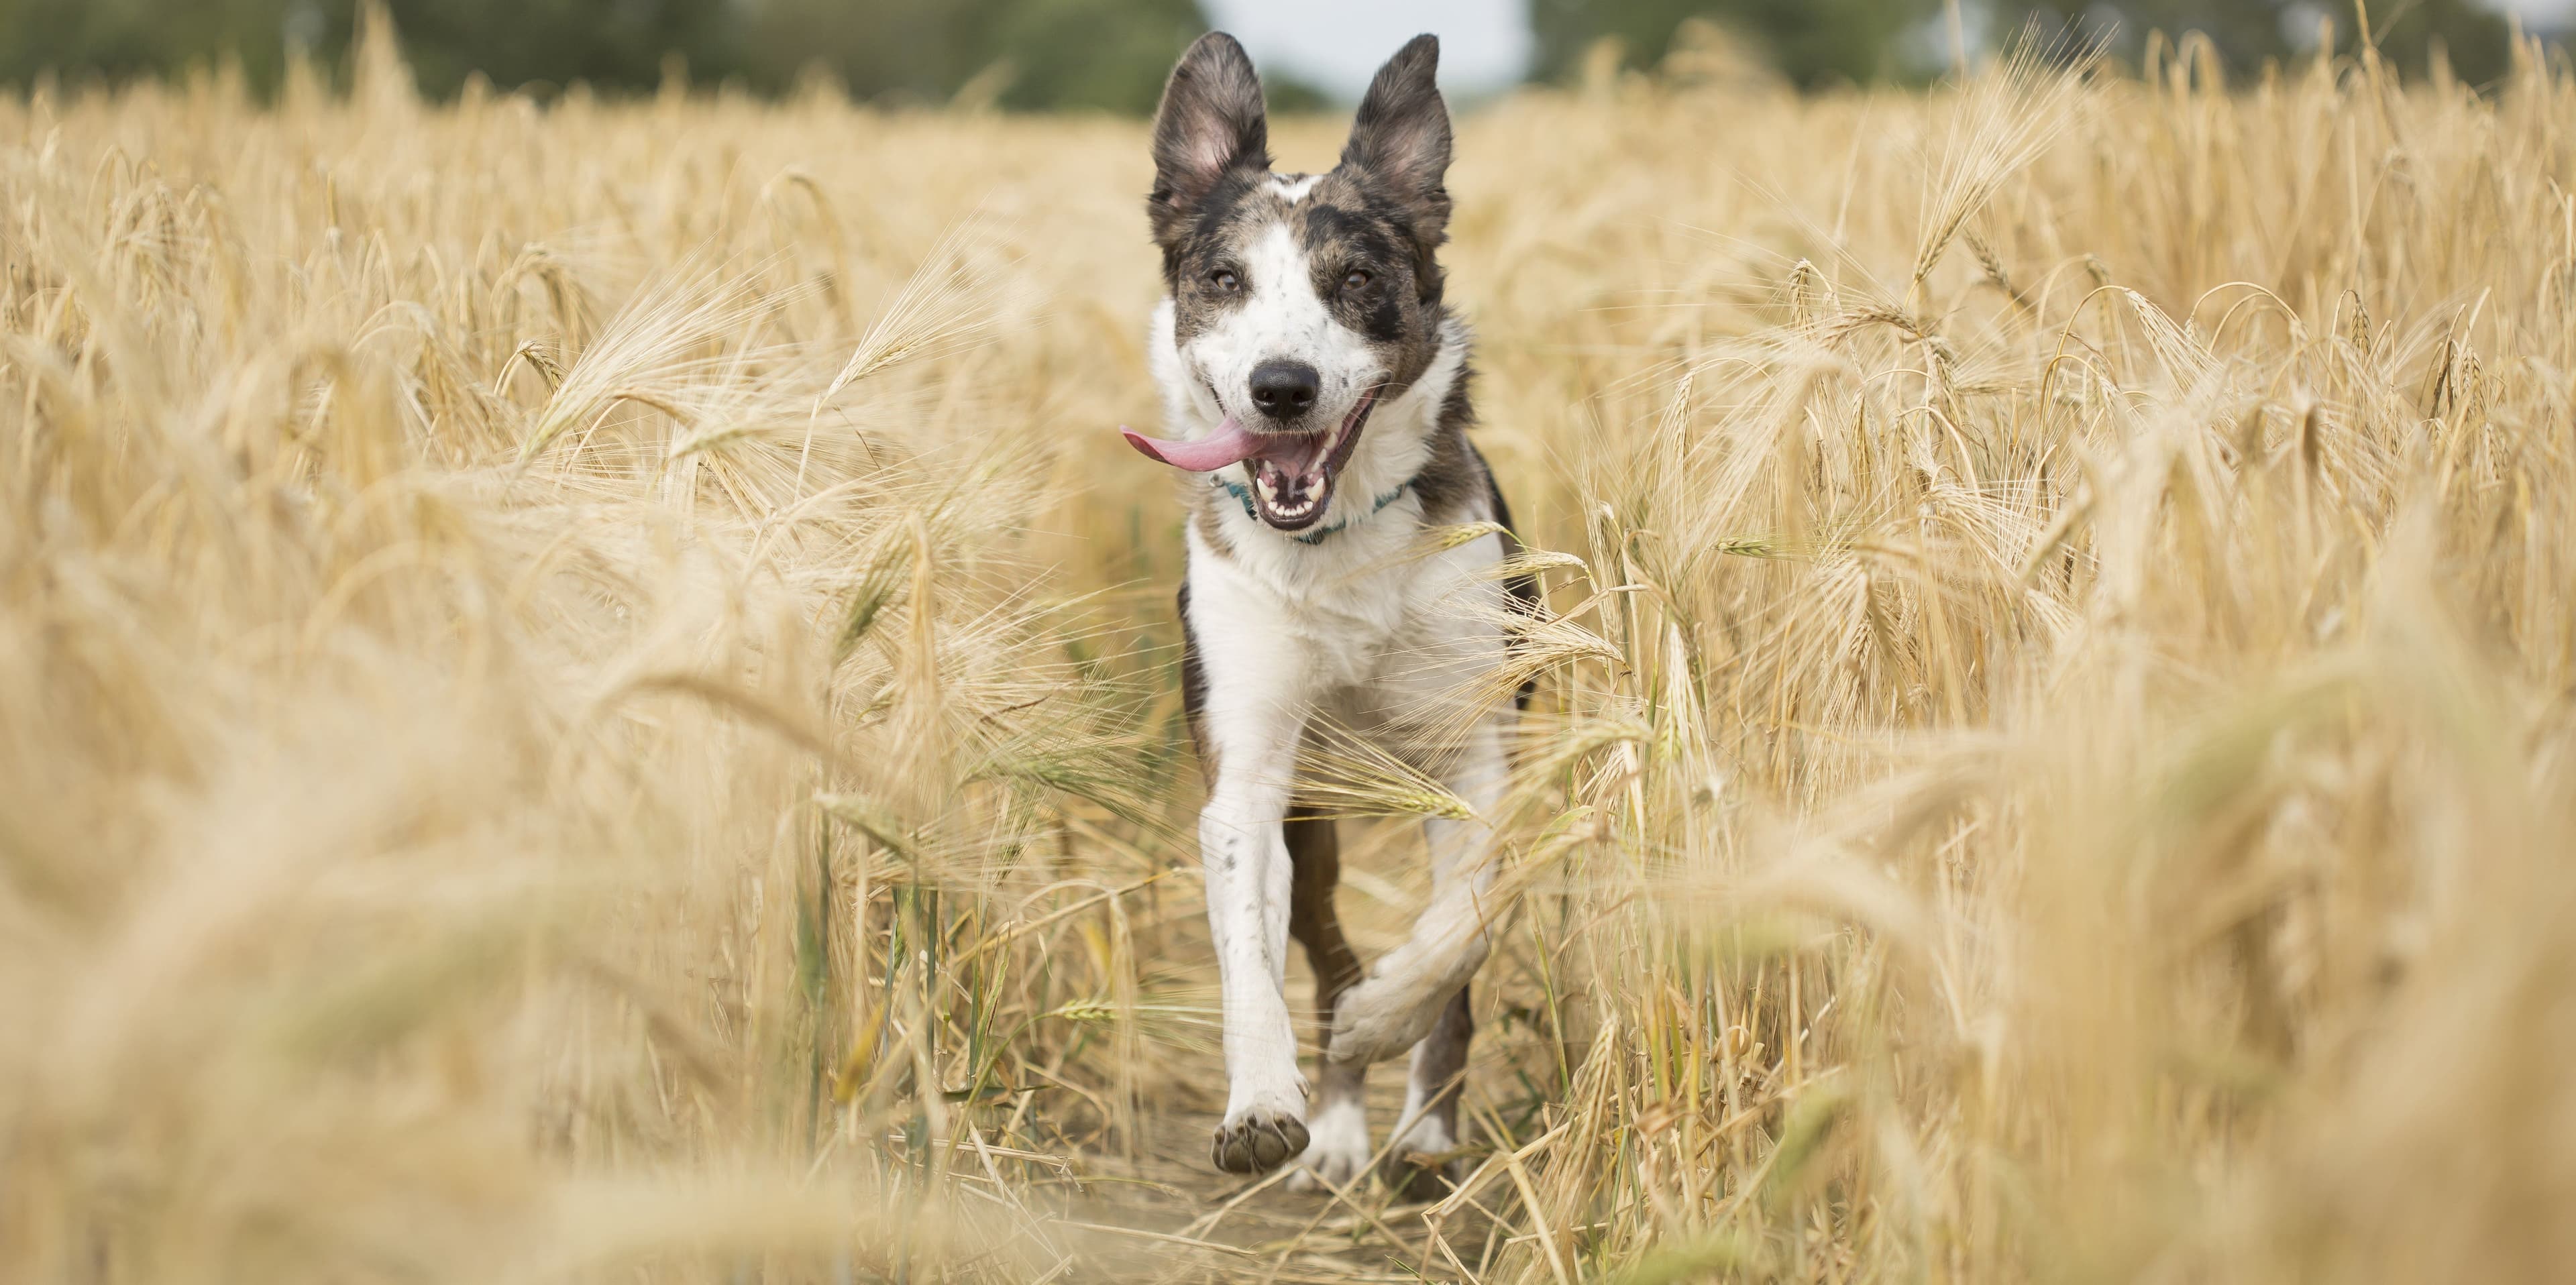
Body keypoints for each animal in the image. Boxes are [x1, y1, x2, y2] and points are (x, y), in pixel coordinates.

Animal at [1123, 27, 1525, 1194]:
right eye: (1224, 280)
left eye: (1357, 281)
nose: (1282, 388)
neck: (1336, 545)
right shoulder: (1251, 777)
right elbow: (1249, 952)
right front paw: (1265, 1103)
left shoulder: (1478, 757)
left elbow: (1459, 930)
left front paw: (1388, 1022)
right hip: (1316, 815)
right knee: (1323, 946)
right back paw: (1339, 1128)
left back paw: (1421, 1126)